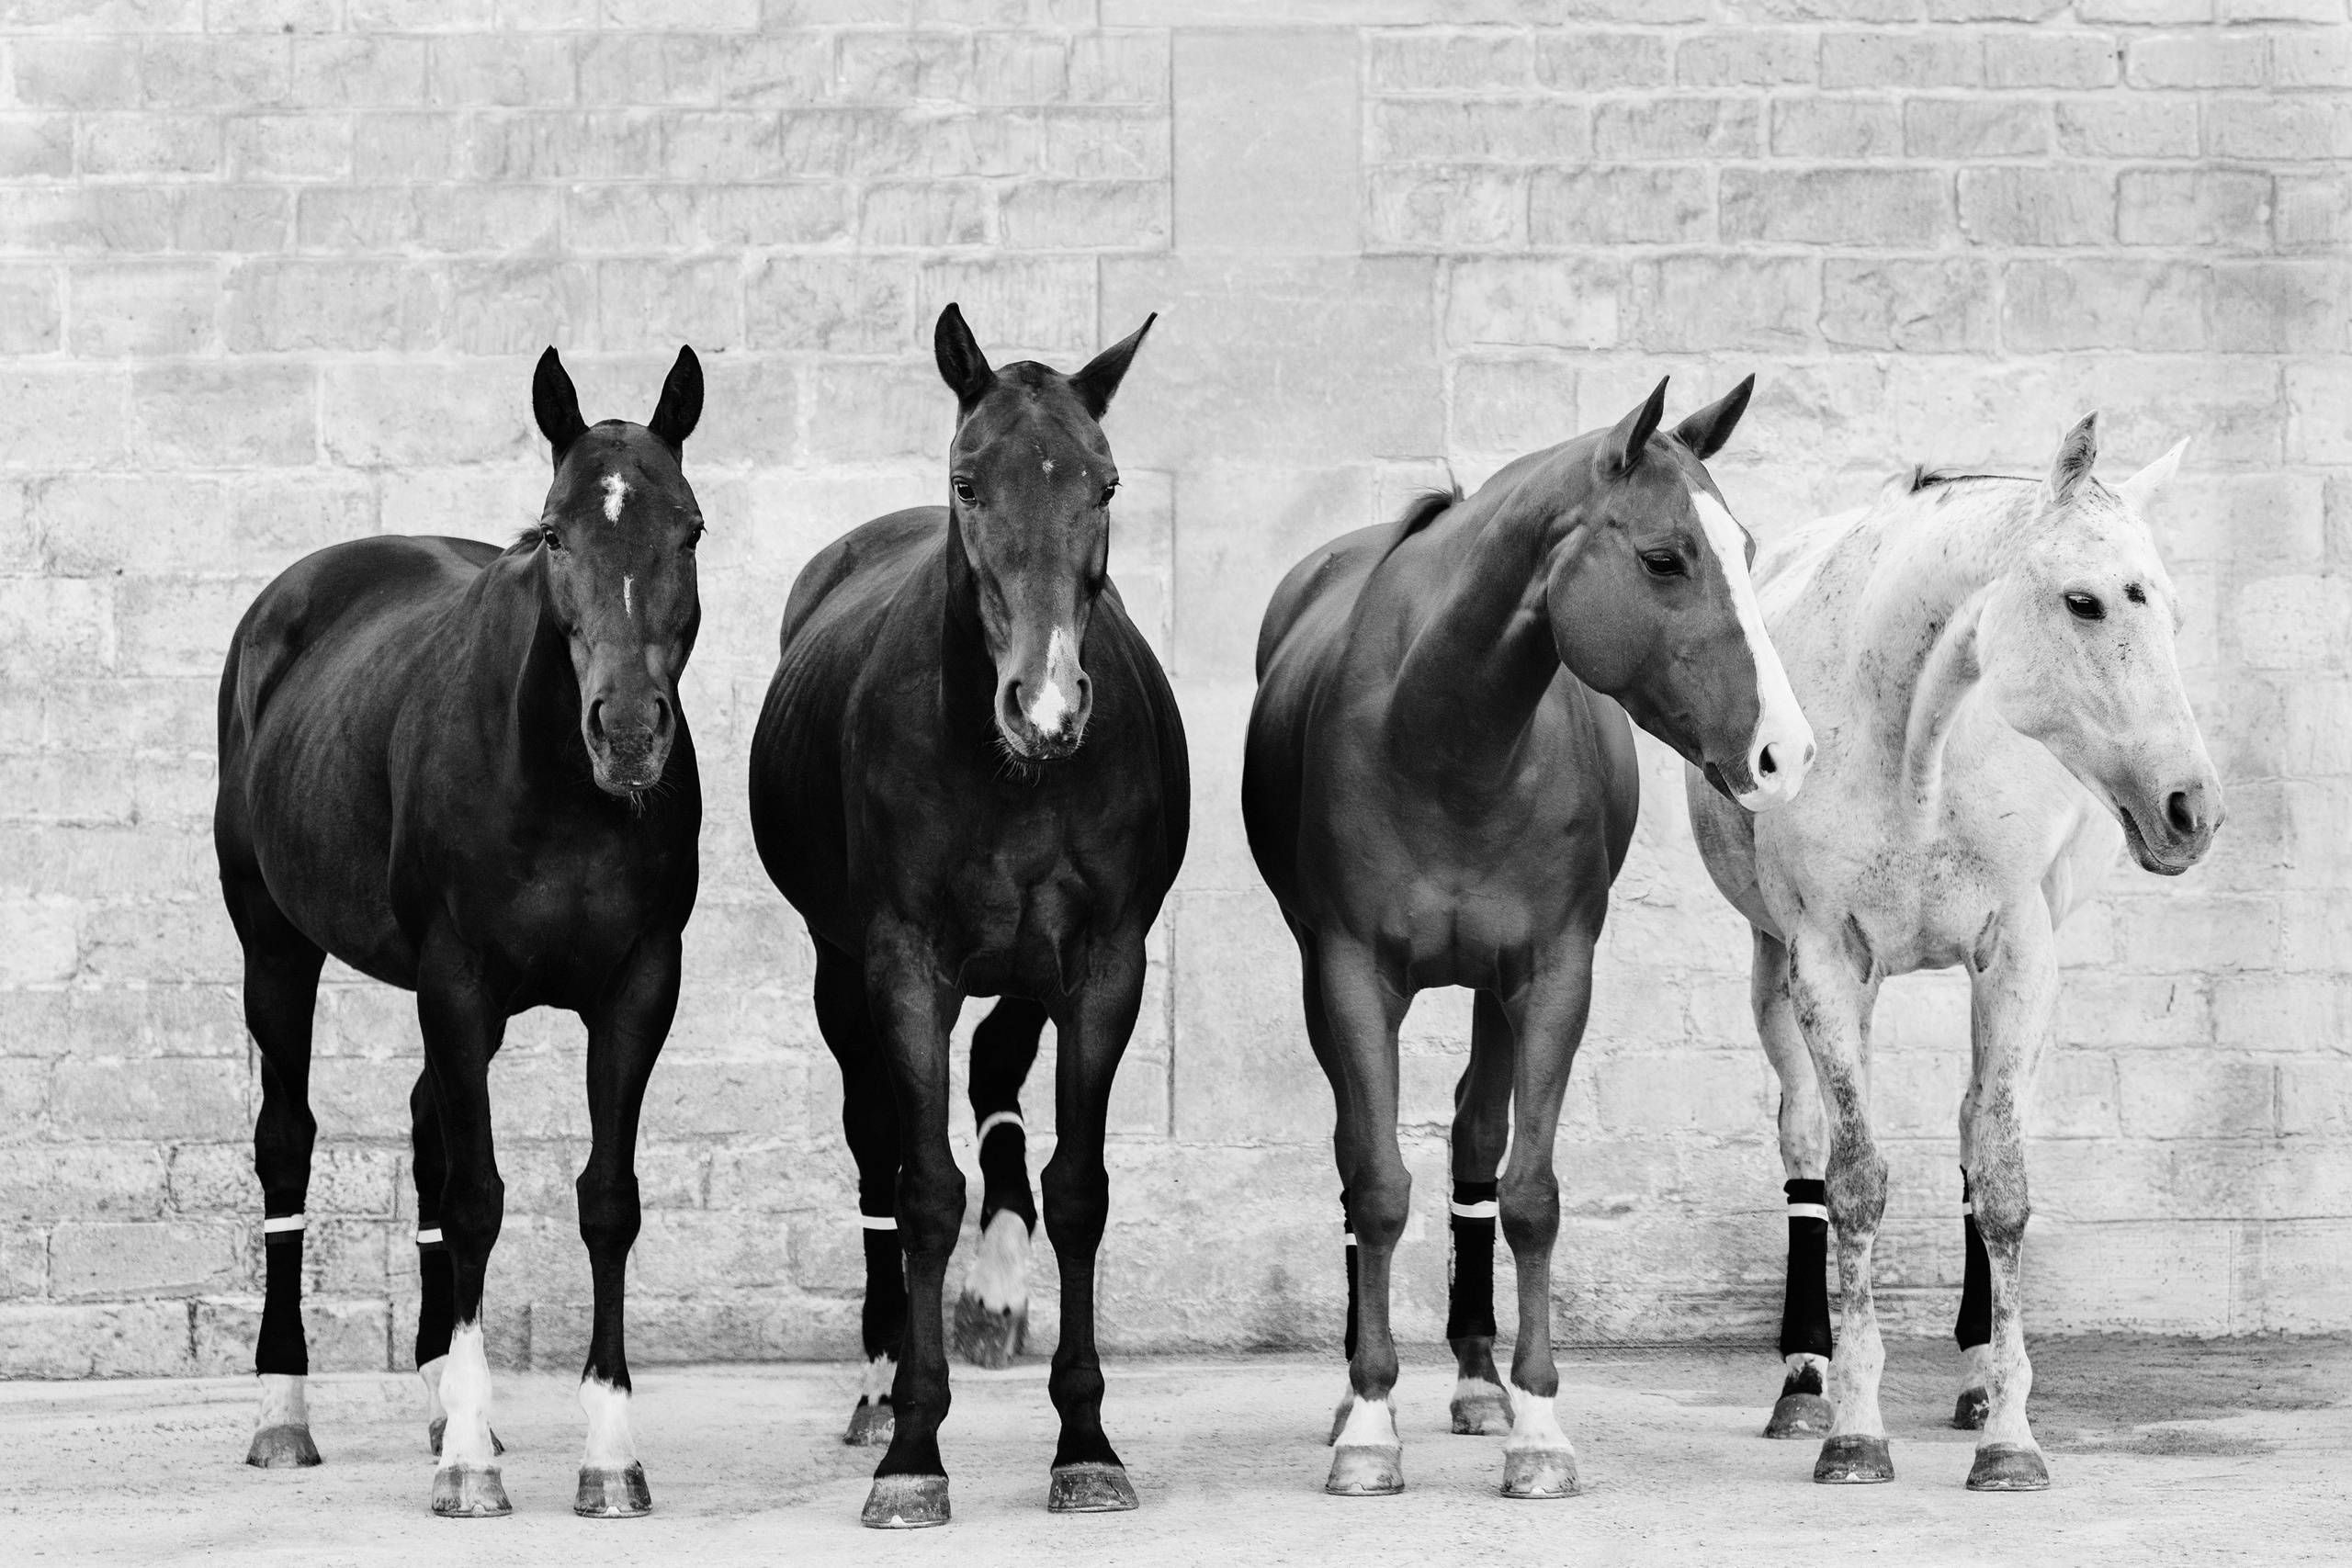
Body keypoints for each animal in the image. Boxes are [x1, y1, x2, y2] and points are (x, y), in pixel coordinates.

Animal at [214, 346, 707, 1519]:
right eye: (555, 534)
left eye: (690, 530)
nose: (629, 731)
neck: (560, 788)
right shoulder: (458, 980)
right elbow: (479, 1198)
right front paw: (472, 1469)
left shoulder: (639, 986)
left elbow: (606, 1201)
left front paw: (607, 1456)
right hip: (274, 943)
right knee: (288, 1143)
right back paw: (283, 1412)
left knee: (427, 1131)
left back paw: (443, 1389)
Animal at [748, 304, 1187, 1528]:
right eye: (966, 481)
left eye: (1105, 482)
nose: (1043, 704)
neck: (1008, 772)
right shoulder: (902, 962)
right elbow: (921, 1188)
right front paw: (912, 1451)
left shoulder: (1103, 961)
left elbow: (1077, 1189)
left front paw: (1085, 1442)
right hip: (839, 970)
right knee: (875, 1146)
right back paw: (878, 1379)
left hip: (1029, 965)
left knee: (997, 1072)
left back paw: (994, 1290)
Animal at [1242, 376, 1815, 1500]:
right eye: (1665, 558)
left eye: (1746, 546)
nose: (1787, 752)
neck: (1444, 739)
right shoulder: (1348, 973)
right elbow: (1377, 1186)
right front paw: (1368, 1423)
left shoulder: (1553, 975)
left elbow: (1529, 1194)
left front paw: (1540, 1426)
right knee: (1361, 1160)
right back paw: (1357, 1391)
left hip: (1493, 991)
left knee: (1474, 1136)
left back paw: (1477, 1379)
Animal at [1686, 415, 2223, 1491]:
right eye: (2084, 600)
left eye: (2170, 610)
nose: (2191, 809)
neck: (1914, 741)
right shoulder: (1823, 960)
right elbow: (1852, 1185)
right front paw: (1854, 1429)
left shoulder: (2017, 955)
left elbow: (2002, 1182)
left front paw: (2009, 1437)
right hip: (1773, 969)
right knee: (1803, 1147)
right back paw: (1803, 1382)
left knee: (1979, 1128)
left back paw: (1975, 1381)